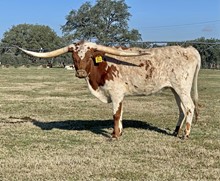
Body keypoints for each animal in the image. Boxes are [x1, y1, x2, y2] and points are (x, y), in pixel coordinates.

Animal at [18, 41, 201, 139]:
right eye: (74, 57)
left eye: (89, 56)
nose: (81, 73)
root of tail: (189, 49)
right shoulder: (119, 95)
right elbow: (121, 113)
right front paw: (119, 132)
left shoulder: (116, 93)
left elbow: (116, 114)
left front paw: (114, 135)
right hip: (174, 88)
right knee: (182, 109)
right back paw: (175, 131)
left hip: (182, 87)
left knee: (189, 107)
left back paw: (185, 135)